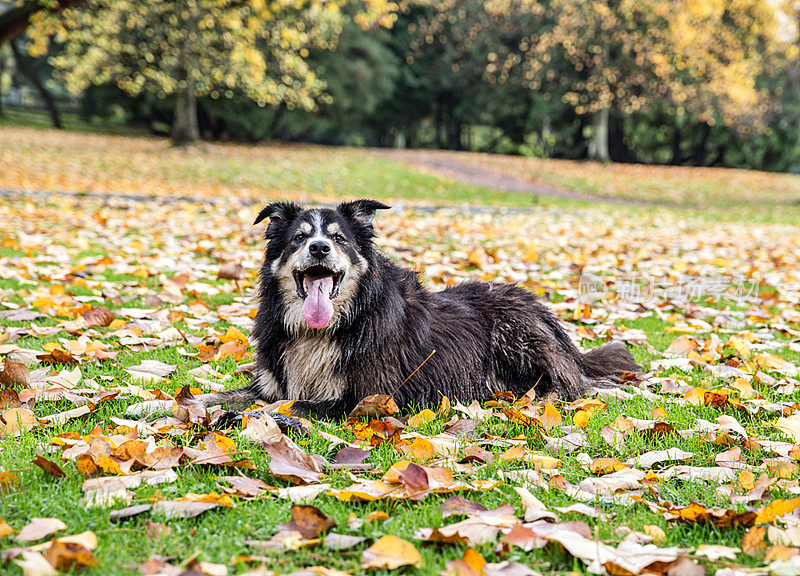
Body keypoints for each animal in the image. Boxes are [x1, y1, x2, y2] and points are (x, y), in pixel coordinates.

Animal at [128, 199, 640, 424]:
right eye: (298, 238)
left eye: (338, 238)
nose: (318, 247)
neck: (327, 328)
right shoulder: (270, 382)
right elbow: (221, 394)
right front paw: (151, 404)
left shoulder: (365, 397)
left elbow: (284, 406)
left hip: (518, 332)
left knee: (573, 386)